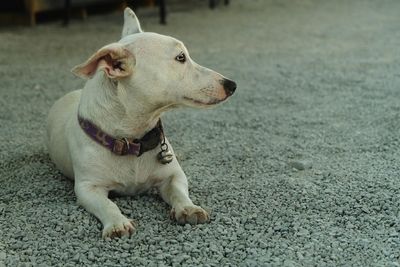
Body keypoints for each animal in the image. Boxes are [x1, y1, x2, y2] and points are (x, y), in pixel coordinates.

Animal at [45, 7, 236, 239]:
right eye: (181, 57)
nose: (232, 85)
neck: (132, 139)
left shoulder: (173, 176)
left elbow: (179, 191)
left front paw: (189, 208)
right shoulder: (88, 189)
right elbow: (107, 205)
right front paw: (117, 223)